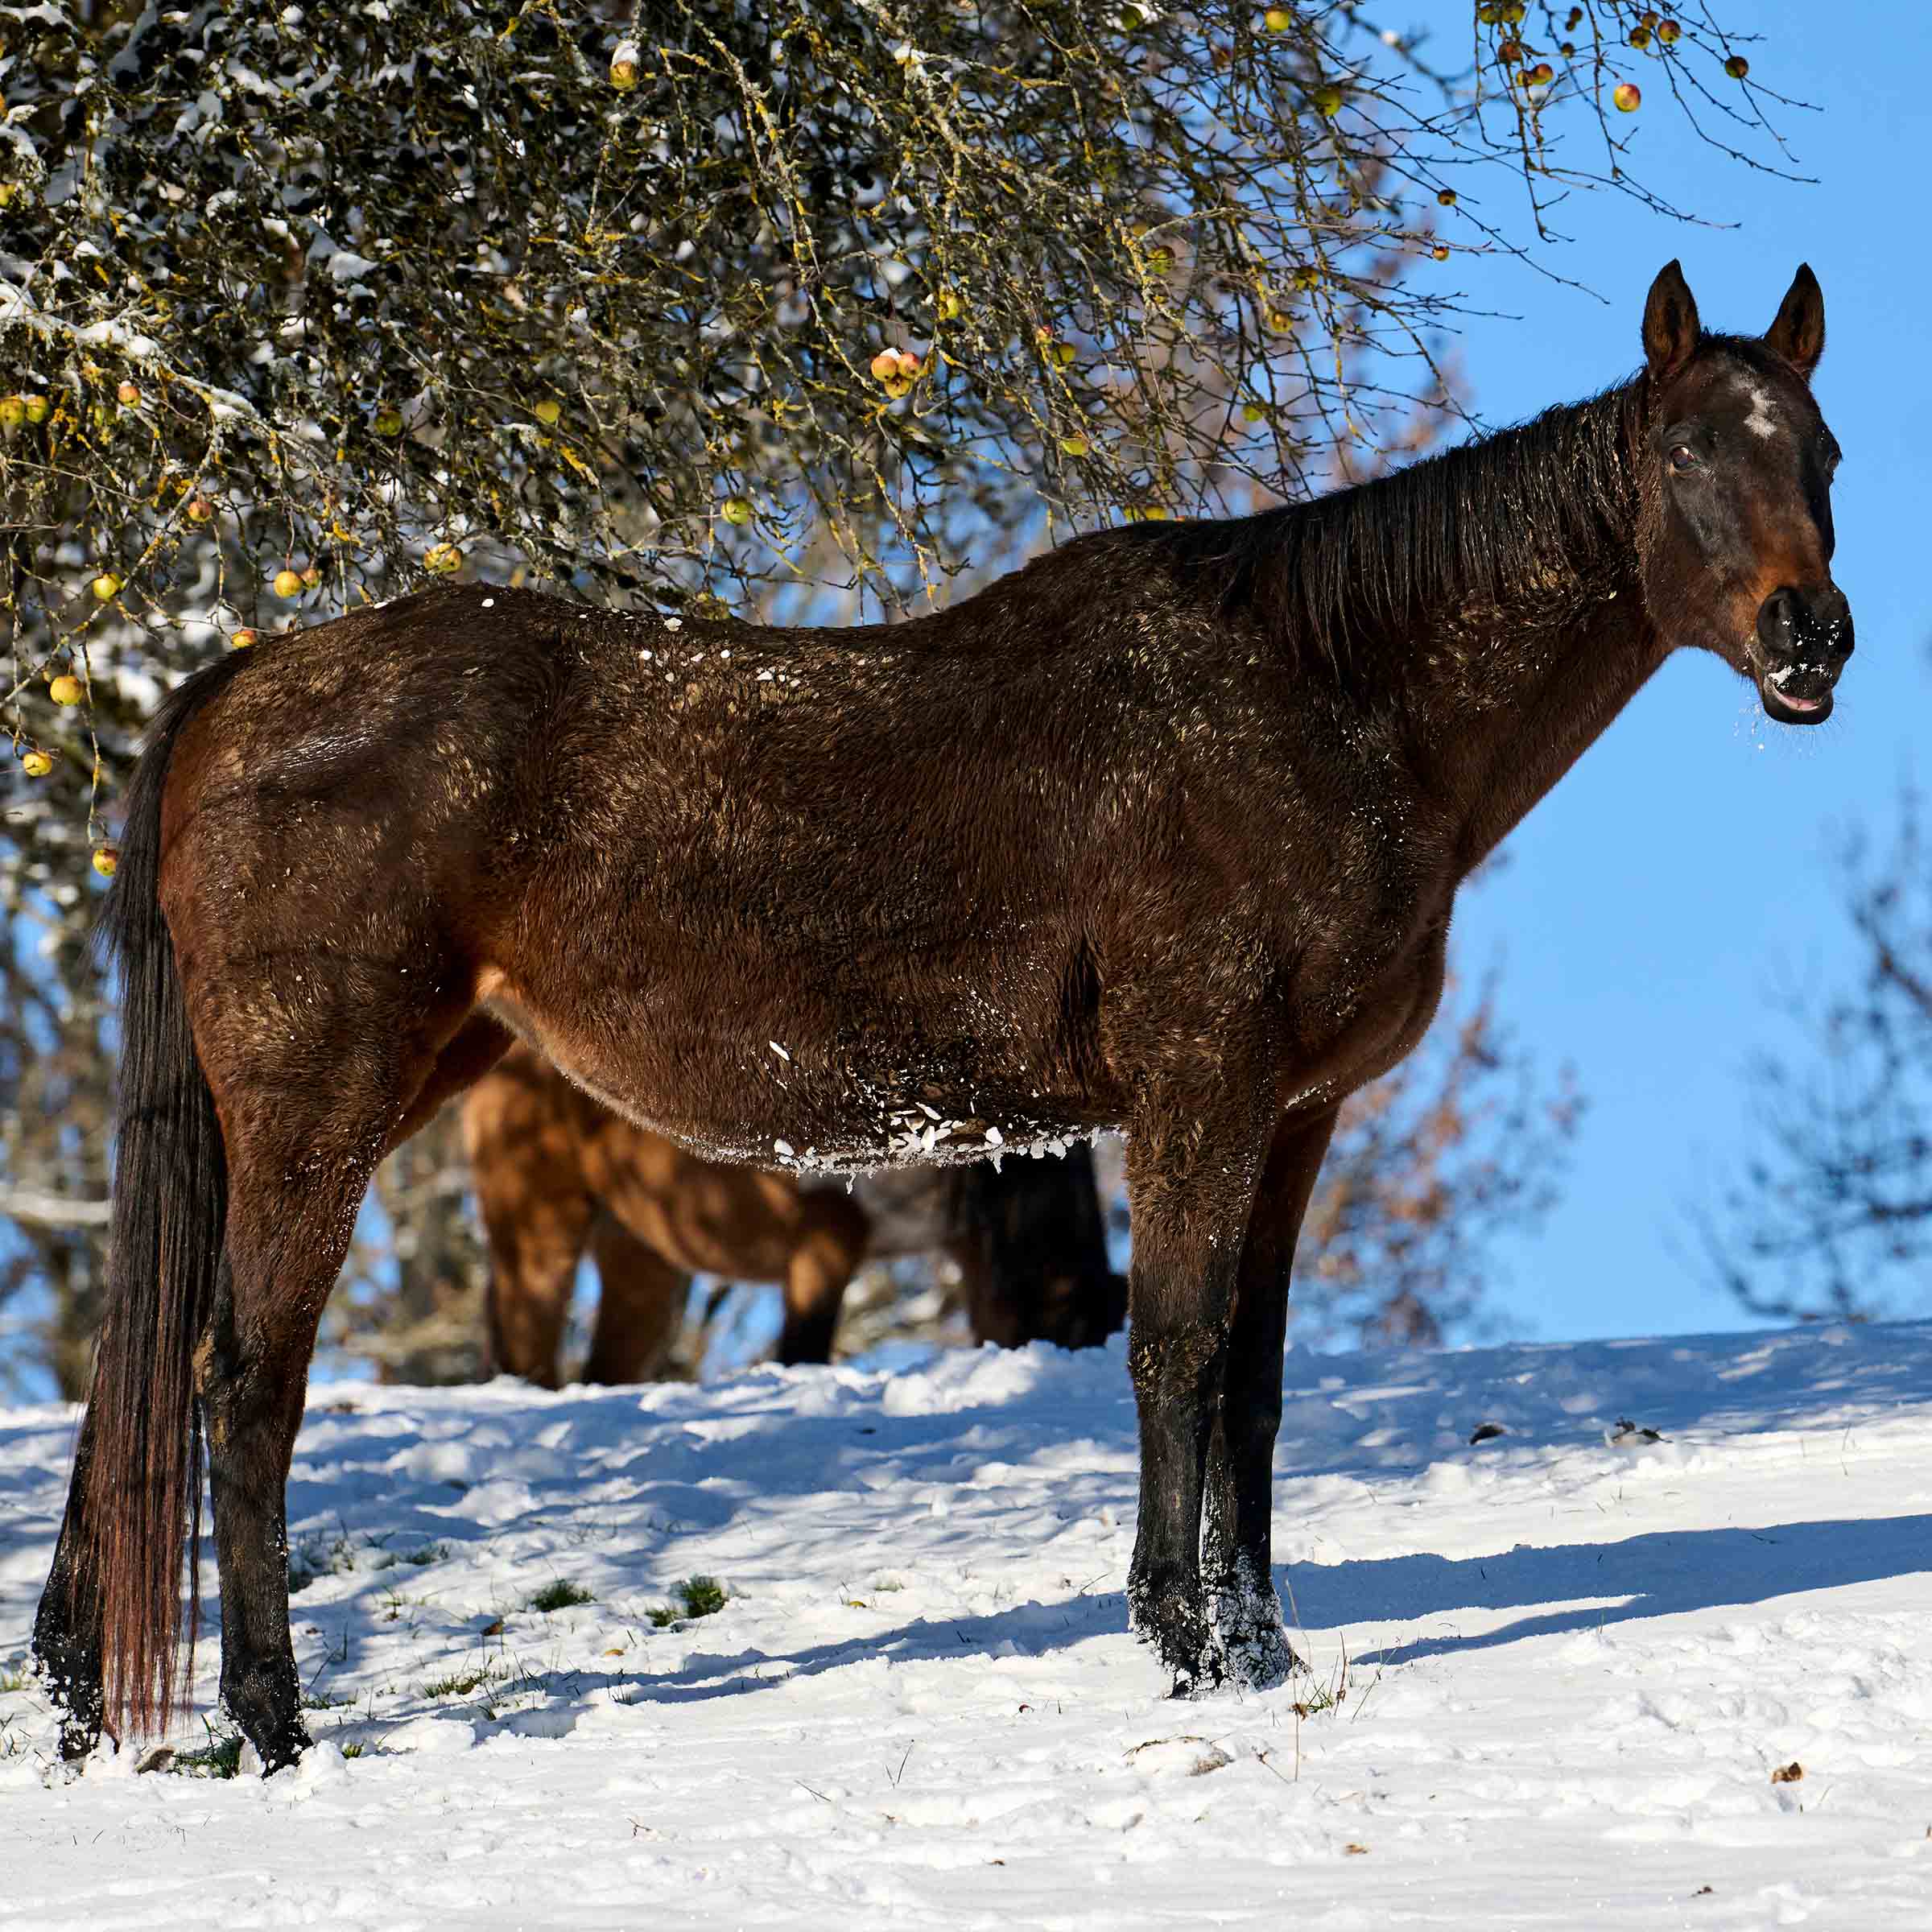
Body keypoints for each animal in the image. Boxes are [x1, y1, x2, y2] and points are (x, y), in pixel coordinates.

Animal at [35, 262, 1849, 1771]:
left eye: (1825, 454)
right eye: (1694, 457)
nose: (1811, 637)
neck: (1327, 701)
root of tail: (241, 683)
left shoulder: (1296, 1114)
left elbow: (1254, 1381)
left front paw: (1262, 1653)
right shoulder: (1199, 1087)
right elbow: (1175, 1352)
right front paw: (1184, 1645)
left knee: (148, 1371)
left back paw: (77, 1691)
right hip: (325, 1107)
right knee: (245, 1379)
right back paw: (273, 1726)